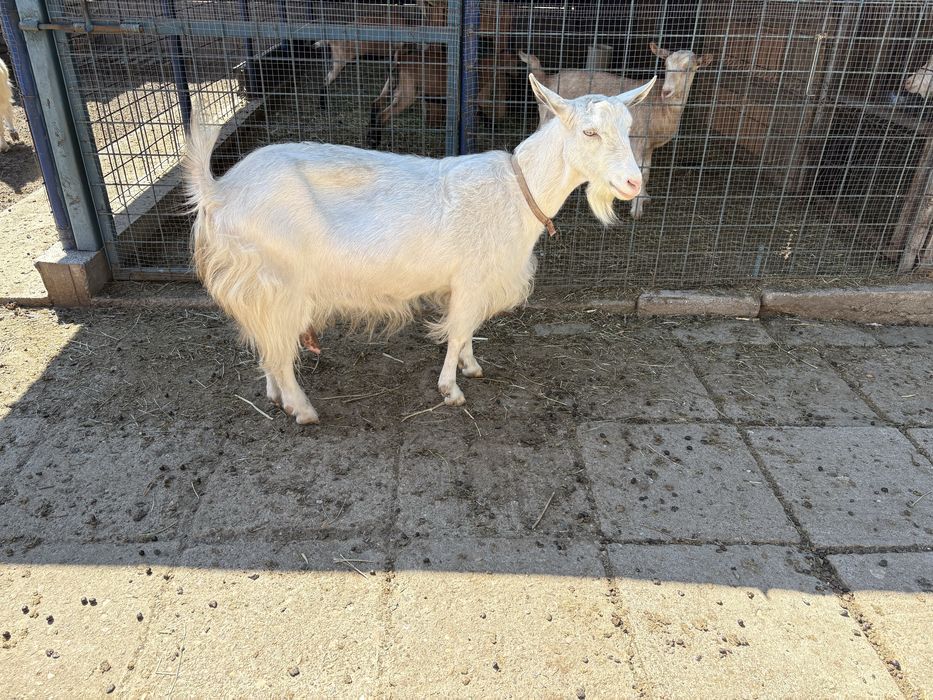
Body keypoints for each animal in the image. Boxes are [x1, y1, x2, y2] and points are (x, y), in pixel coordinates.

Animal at [184, 73, 656, 424]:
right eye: (589, 131)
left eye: (629, 129)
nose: (634, 182)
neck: (517, 192)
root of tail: (219, 191)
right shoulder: (471, 279)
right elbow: (458, 330)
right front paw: (451, 390)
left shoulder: (470, 284)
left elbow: (467, 331)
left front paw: (471, 367)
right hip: (277, 279)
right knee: (279, 346)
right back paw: (301, 408)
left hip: (260, 286)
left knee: (267, 342)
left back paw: (275, 395)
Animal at [520, 42, 714, 218]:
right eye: (666, 65)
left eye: (688, 68)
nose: (667, 91)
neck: (661, 106)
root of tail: (547, 80)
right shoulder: (638, 140)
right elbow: (641, 171)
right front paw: (636, 210)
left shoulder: (649, 145)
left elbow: (646, 172)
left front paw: (644, 196)